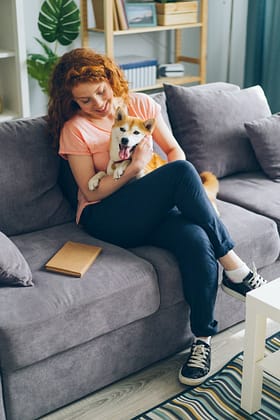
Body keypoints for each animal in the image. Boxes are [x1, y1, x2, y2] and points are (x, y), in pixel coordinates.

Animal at [87, 106, 219, 215]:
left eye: (136, 132)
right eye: (122, 129)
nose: (125, 140)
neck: (118, 161)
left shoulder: (143, 171)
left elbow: (129, 161)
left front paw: (120, 168)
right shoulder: (110, 170)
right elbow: (102, 172)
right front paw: (93, 180)